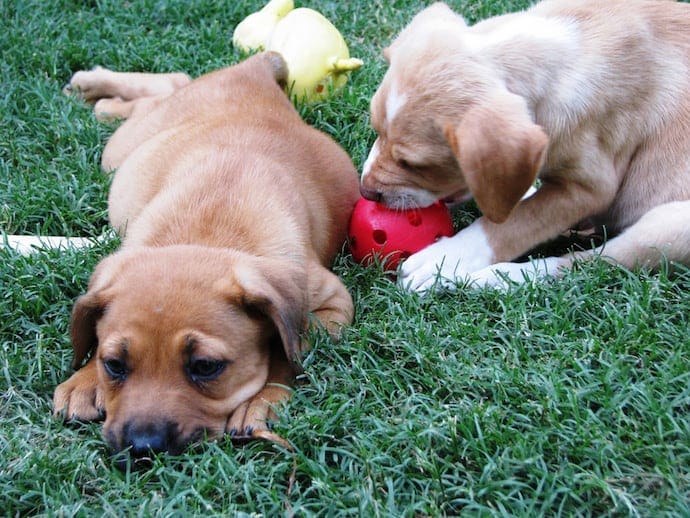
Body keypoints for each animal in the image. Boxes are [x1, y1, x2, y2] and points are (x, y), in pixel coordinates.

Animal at [52, 51, 360, 460]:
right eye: (114, 364)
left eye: (205, 366)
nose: (142, 448)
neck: (208, 232)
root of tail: (254, 70)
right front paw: (85, 380)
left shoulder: (331, 304)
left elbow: (289, 349)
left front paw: (262, 400)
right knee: (170, 84)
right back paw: (96, 89)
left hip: (122, 147)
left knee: (170, 85)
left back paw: (99, 96)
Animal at [360, 0, 688, 292]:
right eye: (375, 129)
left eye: (414, 165)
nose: (366, 192)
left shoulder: (590, 187)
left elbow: (514, 223)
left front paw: (446, 258)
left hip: (671, 225)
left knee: (585, 263)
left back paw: (477, 278)